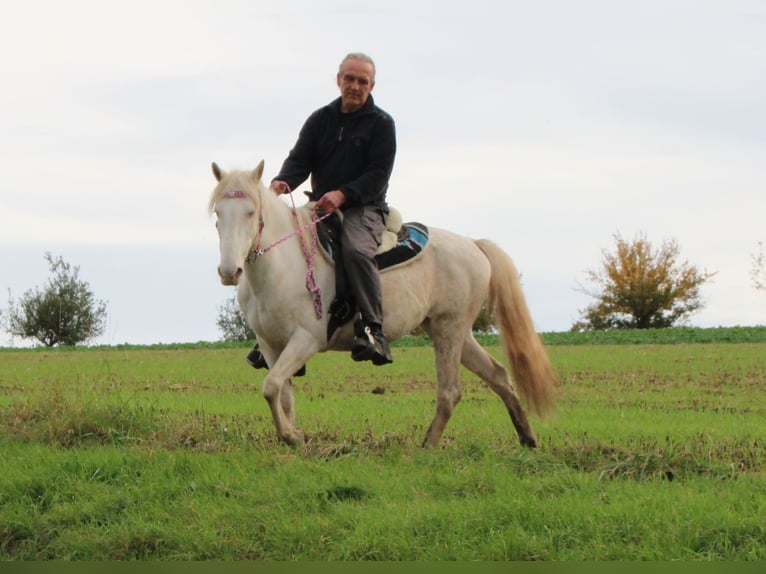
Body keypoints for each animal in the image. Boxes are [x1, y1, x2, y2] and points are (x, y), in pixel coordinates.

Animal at [210, 162, 560, 450]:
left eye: (251, 213)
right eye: (217, 215)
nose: (229, 272)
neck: (284, 265)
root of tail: (473, 244)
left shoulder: (306, 339)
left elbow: (270, 386)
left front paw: (291, 436)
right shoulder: (271, 344)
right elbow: (282, 393)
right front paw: (295, 435)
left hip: (449, 328)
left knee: (450, 390)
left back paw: (427, 445)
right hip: (452, 330)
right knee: (498, 374)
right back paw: (528, 439)